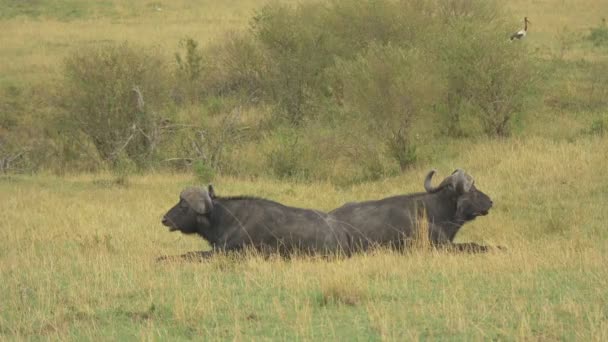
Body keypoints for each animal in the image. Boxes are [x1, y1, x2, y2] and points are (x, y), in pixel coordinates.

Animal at [159, 184, 350, 260]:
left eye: (184, 205)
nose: (164, 219)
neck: (225, 219)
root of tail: (341, 234)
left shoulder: (223, 252)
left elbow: (191, 254)